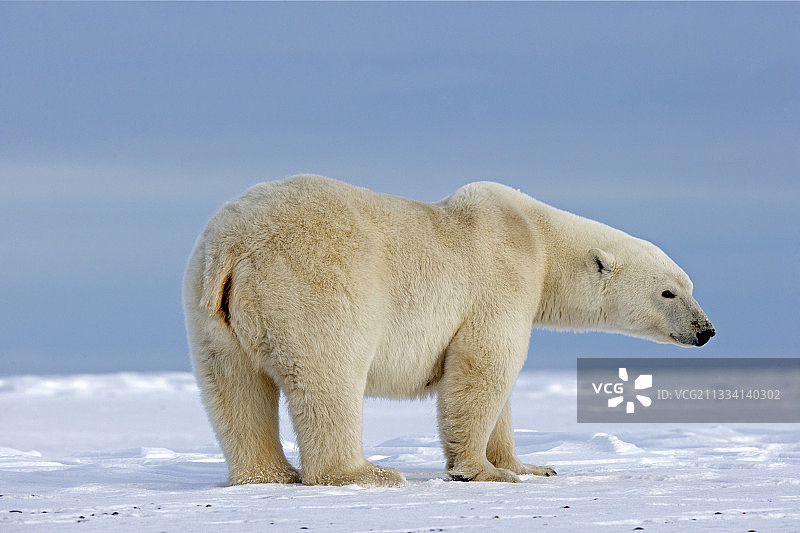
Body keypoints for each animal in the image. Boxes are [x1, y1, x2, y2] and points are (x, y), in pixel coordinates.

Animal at [184, 176, 716, 486]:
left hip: (210, 312)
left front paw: (530, 465)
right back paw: (365, 473)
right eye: (669, 292)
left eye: (688, 286)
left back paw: (266, 476)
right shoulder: (501, 279)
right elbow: (483, 369)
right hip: (316, 280)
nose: (706, 330)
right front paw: (484, 473)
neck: (540, 241)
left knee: (233, 388)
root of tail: (234, 247)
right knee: (327, 375)